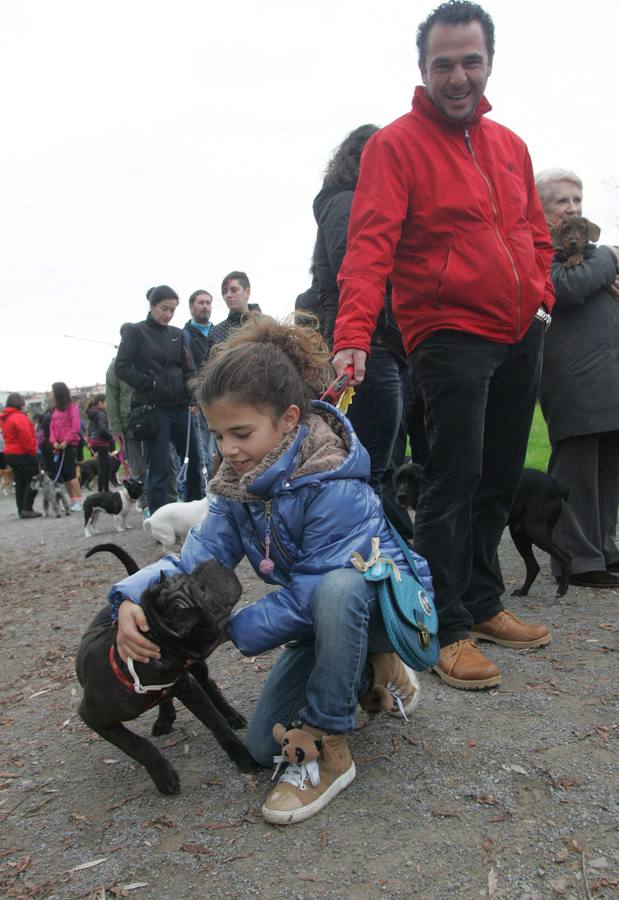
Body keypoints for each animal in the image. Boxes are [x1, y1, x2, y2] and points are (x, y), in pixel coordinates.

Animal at [76, 540, 256, 796]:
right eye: (202, 589)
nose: (215, 560)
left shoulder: (190, 689)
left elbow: (217, 723)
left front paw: (241, 754)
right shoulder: (93, 717)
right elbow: (136, 744)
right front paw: (163, 776)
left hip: (198, 670)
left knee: (209, 686)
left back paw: (230, 715)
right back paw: (164, 718)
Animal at [392, 464, 572, 596]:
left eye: (414, 480)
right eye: (397, 480)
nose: (400, 496)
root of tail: (556, 486)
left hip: (537, 531)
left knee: (565, 557)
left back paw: (562, 590)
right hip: (520, 535)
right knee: (533, 566)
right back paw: (523, 591)